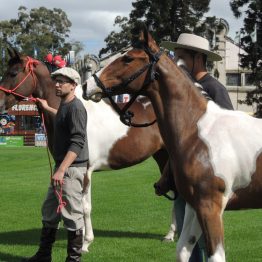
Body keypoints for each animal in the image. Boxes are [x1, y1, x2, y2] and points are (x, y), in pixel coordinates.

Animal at [0, 48, 172, 252]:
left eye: (13, 73)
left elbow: (84, 207)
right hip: (162, 157)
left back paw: (171, 235)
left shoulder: (85, 171)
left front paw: (85, 243)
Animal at [85, 23, 262, 260]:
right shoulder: (194, 206)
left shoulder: (210, 207)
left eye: (128, 59)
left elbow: (215, 256)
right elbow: (183, 250)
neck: (198, 132)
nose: (87, 86)